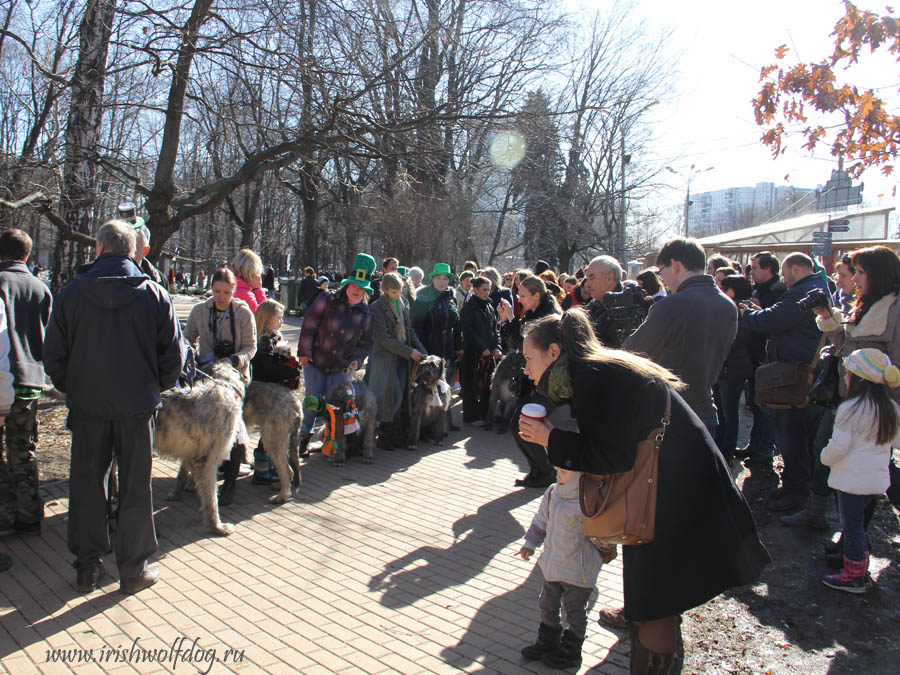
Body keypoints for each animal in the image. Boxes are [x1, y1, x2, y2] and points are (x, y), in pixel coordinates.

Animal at [156, 364, 244, 540]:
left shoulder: (192, 453)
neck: (225, 385)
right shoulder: (208, 460)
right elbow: (211, 498)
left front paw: (178, 491)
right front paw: (217, 526)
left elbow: (183, 472)